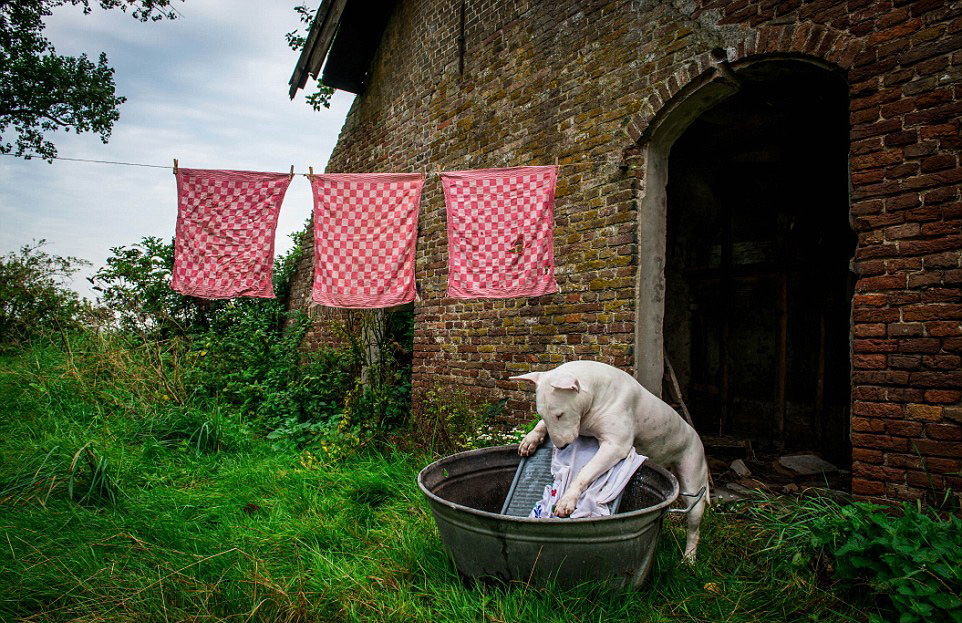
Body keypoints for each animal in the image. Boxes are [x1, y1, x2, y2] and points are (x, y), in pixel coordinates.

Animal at [510, 360, 704, 560]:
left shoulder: (615, 446)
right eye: (543, 414)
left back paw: (689, 559)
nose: (561, 446)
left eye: (559, 415)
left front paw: (567, 501)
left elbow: (585, 471)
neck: (594, 395)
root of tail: (695, 434)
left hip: (694, 479)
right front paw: (530, 440)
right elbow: (540, 426)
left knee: (694, 526)